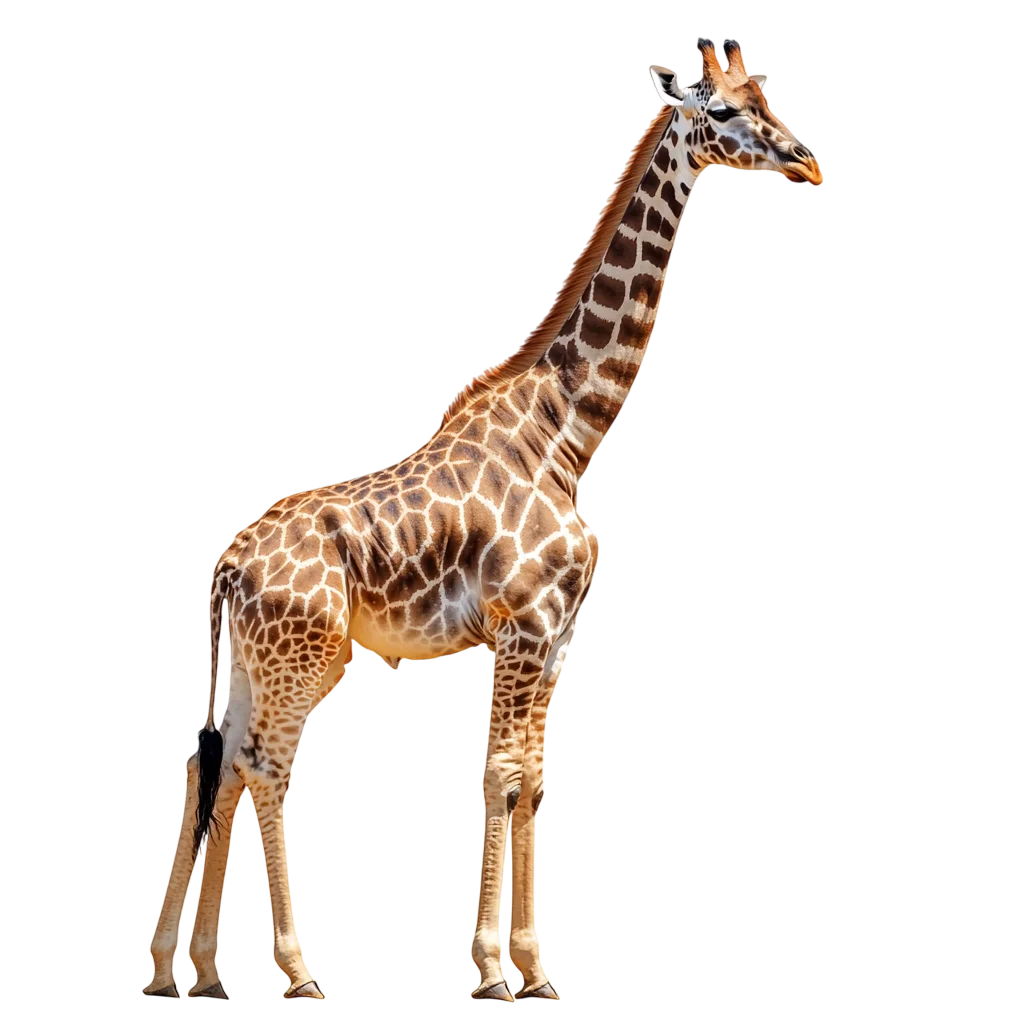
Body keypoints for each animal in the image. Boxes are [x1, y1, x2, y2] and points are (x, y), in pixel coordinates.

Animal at [142, 41, 822, 1002]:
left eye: (765, 97)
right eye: (724, 114)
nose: (808, 162)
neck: (570, 431)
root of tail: (227, 567)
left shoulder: (563, 635)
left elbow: (531, 776)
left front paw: (535, 966)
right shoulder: (522, 625)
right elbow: (497, 768)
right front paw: (494, 970)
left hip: (266, 660)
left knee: (218, 759)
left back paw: (190, 968)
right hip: (301, 657)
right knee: (266, 769)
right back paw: (297, 968)